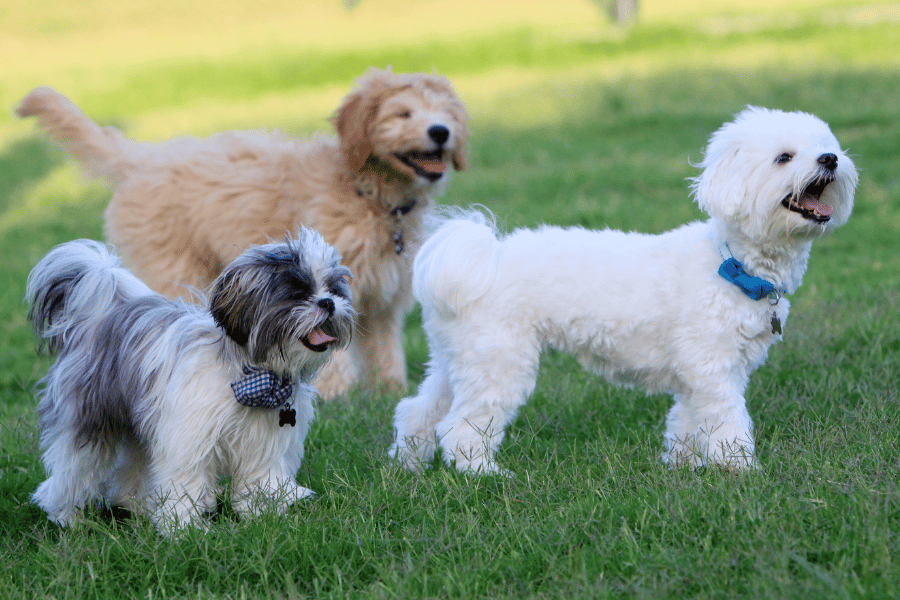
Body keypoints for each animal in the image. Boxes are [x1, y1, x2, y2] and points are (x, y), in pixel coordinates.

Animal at [15, 67, 472, 398]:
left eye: (446, 113)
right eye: (403, 114)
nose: (440, 132)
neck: (369, 194)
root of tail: (142, 159)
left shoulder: (382, 296)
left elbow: (384, 348)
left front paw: (391, 392)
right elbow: (326, 336)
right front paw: (335, 392)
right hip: (173, 269)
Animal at [25, 227, 356, 532]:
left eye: (334, 289)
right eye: (297, 293)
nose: (328, 303)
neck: (251, 375)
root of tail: (97, 318)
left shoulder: (264, 443)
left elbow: (261, 478)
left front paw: (265, 515)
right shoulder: (187, 438)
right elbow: (184, 482)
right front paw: (185, 528)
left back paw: (135, 506)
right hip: (89, 419)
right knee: (74, 469)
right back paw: (66, 515)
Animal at [392, 106, 856, 474]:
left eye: (825, 146)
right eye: (783, 157)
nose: (831, 159)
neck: (732, 264)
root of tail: (482, 258)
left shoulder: (699, 376)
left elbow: (687, 422)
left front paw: (685, 465)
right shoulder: (713, 369)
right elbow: (727, 423)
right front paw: (738, 469)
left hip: (458, 359)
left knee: (418, 411)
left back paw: (408, 466)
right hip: (500, 361)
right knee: (460, 426)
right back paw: (481, 473)